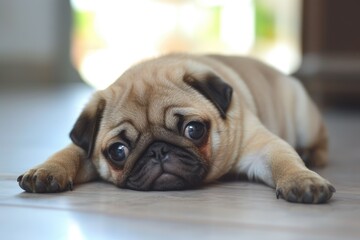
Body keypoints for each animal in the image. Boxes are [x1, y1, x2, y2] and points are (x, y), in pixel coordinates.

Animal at [18, 54, 336, 202]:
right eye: (118, 151)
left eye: (194, 130)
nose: (158, 151)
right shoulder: (85, 150)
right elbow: (67, 154)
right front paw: (45, 171)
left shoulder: (262, 146)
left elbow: (285, 160)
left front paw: (301, 181)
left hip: (304, 120)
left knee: (319, 145)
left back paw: (309, 154)